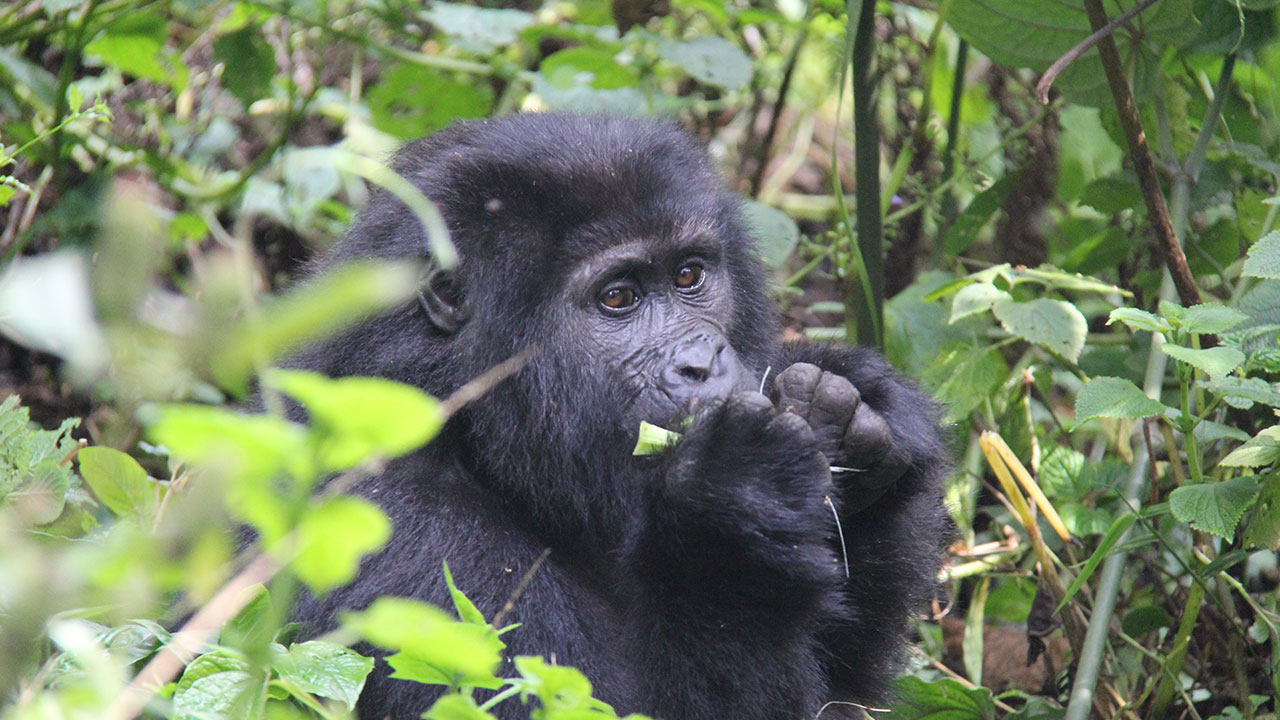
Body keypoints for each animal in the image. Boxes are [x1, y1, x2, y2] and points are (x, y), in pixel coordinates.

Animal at [290, 112, 952, 717]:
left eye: (689, 274)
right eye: (618, 298)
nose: (702, 362)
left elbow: (847, 697)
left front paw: (851, 408)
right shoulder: (403, 536)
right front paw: (730, 521)